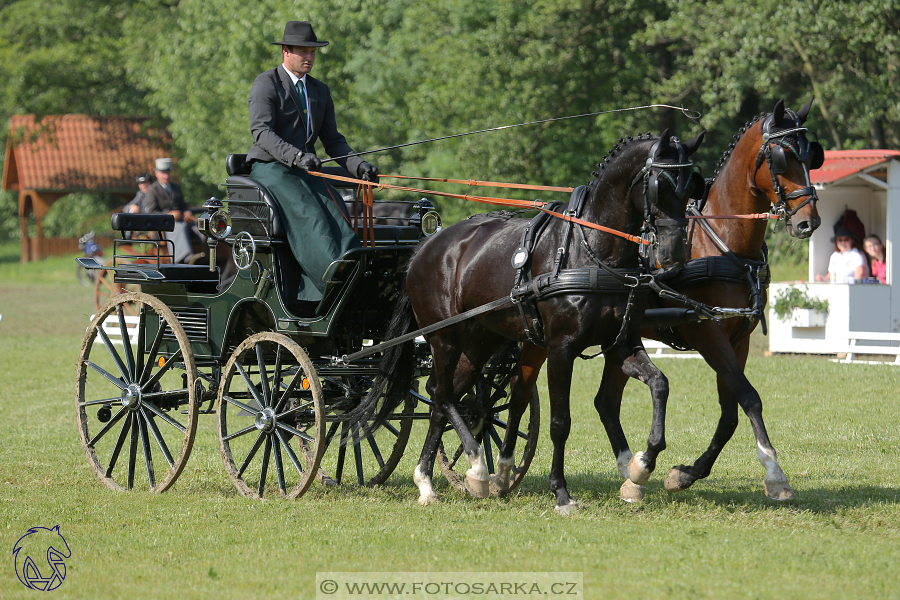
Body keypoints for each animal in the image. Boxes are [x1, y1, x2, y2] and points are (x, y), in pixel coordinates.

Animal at [356, 129, 708, 512]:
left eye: (692, 185)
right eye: (660, 184)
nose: (674, 253)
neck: (591, 250)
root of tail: (426, 246)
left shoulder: (620, 343)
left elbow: (659, 384)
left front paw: (642, 466)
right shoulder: (560, 348)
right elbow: (560, 422)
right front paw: (561, 493)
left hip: (479, 343)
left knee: (442, 396)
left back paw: (429, 482)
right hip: (444, 337)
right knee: (443, 393)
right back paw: (476, 467)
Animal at [596, 99, 828, 502]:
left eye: (811, 156)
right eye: (782, 158)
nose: (807, 222)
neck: (720, 242)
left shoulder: (739, 339)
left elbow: (731, 411)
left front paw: (687, 473)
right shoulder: (707, 333)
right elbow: (749, 397)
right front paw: (774, 473)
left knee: (606, 403)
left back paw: (631, 472)